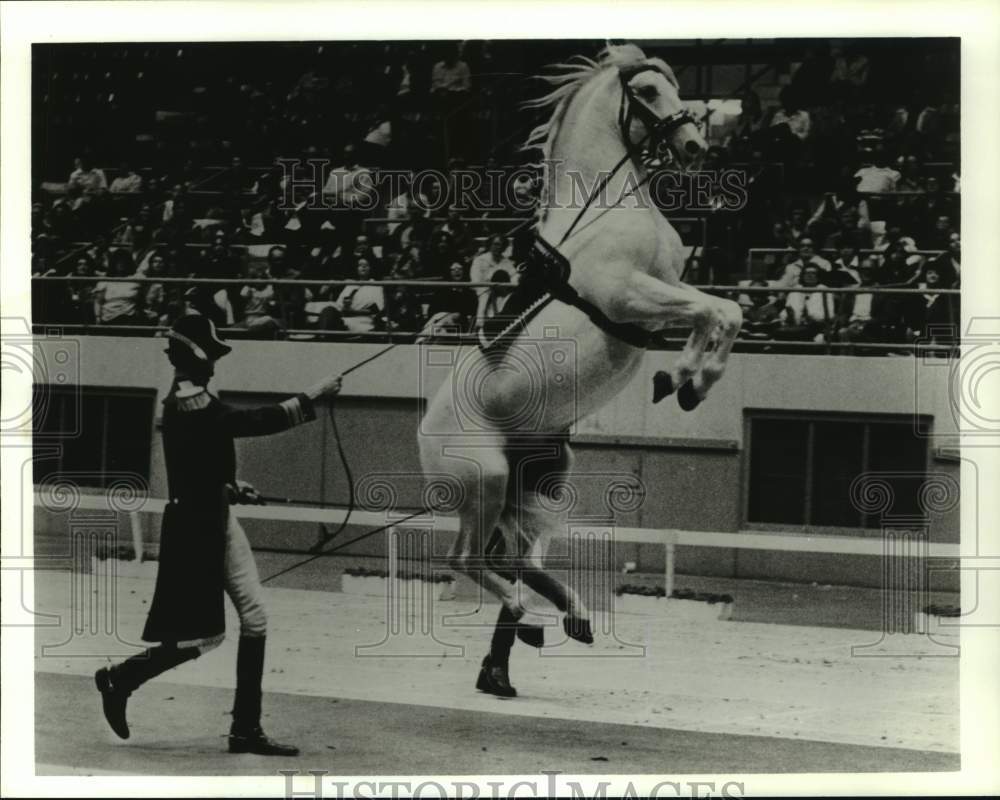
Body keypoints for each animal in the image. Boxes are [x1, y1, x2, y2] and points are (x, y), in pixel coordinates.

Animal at [418, 45, 740, 692]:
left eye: (674, 85)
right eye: (648, 91)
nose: (695, 145)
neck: (604, 211)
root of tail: (420, 433)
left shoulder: (665, 289)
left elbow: (725, 312)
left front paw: (683, 382)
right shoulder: (628, 295)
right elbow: (713, 311)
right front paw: (686, 381)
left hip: (538, 484)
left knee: (514, 560)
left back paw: (569, 619)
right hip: (485, 481)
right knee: (466, 560)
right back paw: (529, 619)